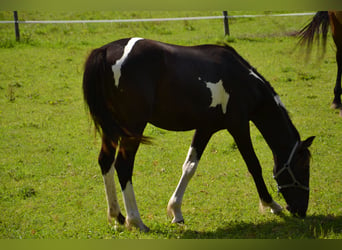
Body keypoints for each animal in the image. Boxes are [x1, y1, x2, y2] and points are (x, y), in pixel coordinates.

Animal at [83, 38, 316, 231]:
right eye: (304, 166)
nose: (300, 210)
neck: (243, 79)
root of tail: (106, 50)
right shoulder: (239, 126)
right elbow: (254, 165)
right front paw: (272, 205)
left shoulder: (205, 128)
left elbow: (189, 166)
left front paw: (176, 211)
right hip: (132, 128)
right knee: (123, 166)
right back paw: (136, 220)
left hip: (112, 129)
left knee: (105, 162)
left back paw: (118, 217)